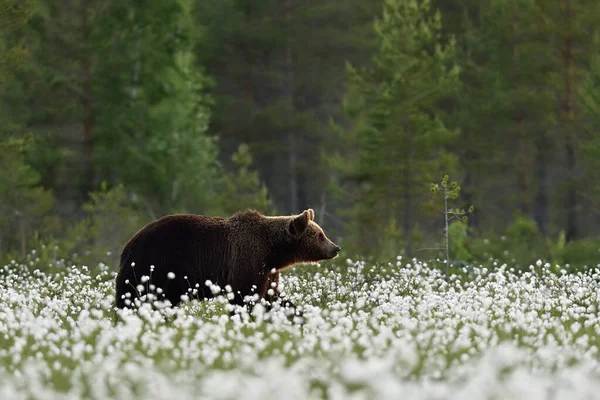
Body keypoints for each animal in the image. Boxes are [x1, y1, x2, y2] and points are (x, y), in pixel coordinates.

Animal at [115, 206, 340, 316]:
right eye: (320, 235)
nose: (336, 248)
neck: (273, 251)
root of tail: (128, 244)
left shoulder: (268, 272)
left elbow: (273, 297)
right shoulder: (246, 260)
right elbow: (244, 297)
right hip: (154, 265)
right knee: (132, 297)